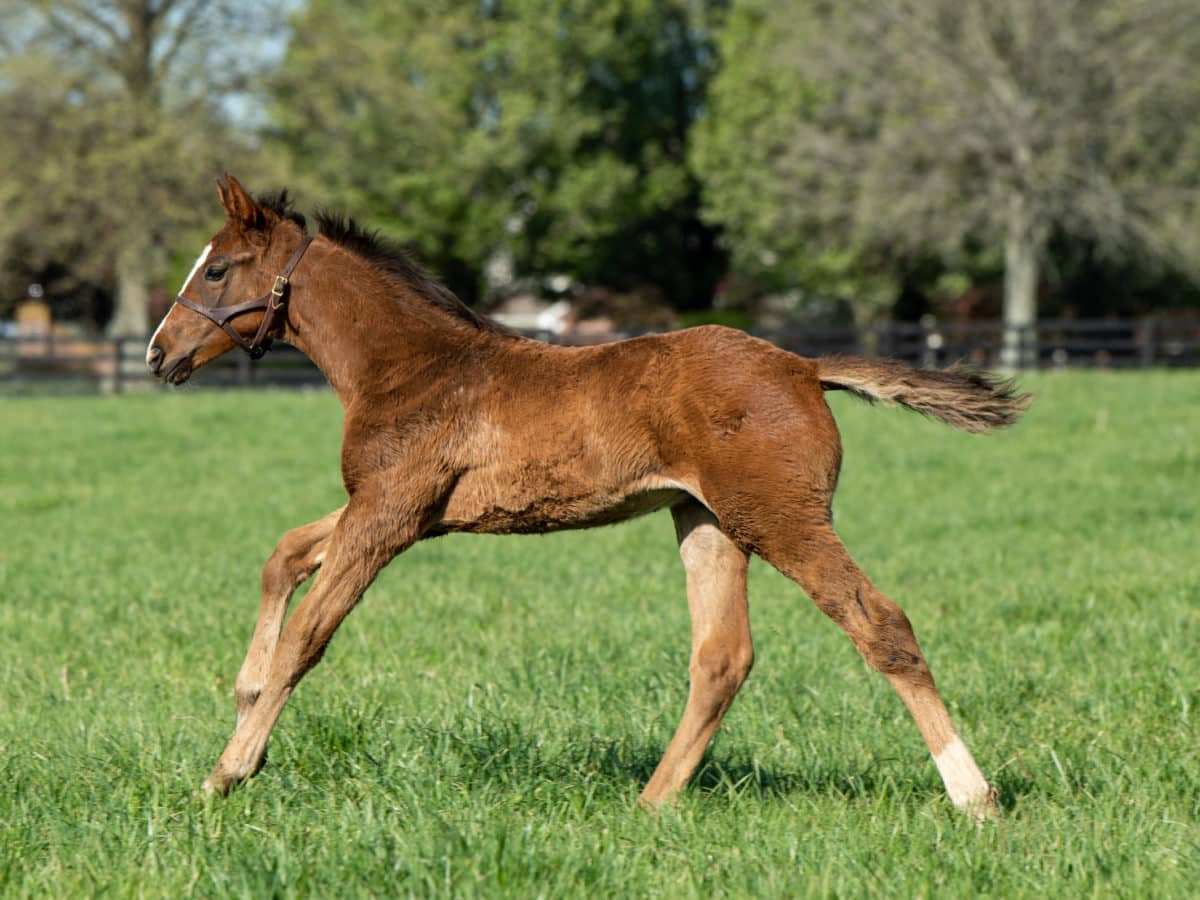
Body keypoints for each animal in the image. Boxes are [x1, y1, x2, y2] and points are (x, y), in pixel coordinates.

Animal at [147, 174, 1032, 816]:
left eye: (217, 269)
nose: (158, 354)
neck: (416, 366)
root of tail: (804, 367)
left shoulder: (390, 513)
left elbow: (310, 634)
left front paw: (227, 772)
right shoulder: (397, 510)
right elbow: (284, 555)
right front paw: (244, 701)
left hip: (780, 517)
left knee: (880, 624)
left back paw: (974, 796)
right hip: (707, 521)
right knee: (722, 657)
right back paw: (651, 803)